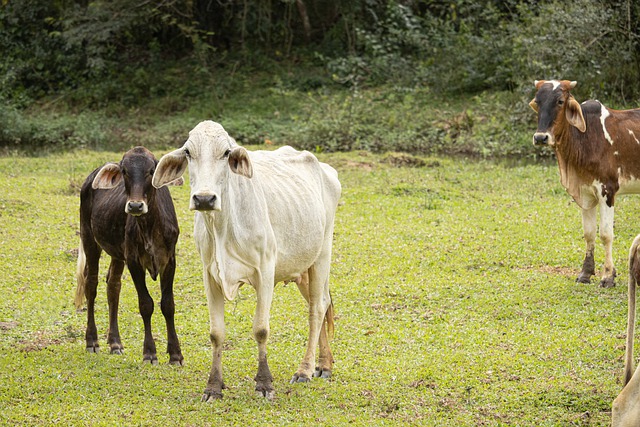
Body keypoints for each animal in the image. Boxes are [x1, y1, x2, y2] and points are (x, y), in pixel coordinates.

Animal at [77, 147, 185, 364]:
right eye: (125, 171)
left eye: (151, 171)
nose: (135, 206)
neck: (149, 226)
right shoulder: (134, 261)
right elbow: (146, 304)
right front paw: (150, 352)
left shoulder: (169, 261)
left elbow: (168, 304)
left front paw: (175, 354)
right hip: (89, 238)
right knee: (91, 284)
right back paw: (92, 340)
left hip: (117, 253)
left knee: (113, 285)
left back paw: (115, 343)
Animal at [151, 121, 340, 402]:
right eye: (188, 152)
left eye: (226, 152)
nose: (204, 198)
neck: (223, 227)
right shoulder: (210, 276)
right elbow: (216, 333)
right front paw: (213, 387)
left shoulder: (265, 272)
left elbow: (261, 329)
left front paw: (264, 383)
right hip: (302, 268)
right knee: (323, 303)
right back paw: (324, 364)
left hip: (322, 255)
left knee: (316, 309)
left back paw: (305, 370)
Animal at [528, 80, 640, 288]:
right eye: (537, 102)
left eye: (560, 101)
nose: (540, 137)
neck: (585, 138)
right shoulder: (586, 193)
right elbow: (589, 234)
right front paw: (586, 273)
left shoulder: (607, 190)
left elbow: (605, 234)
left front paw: (608, 276)